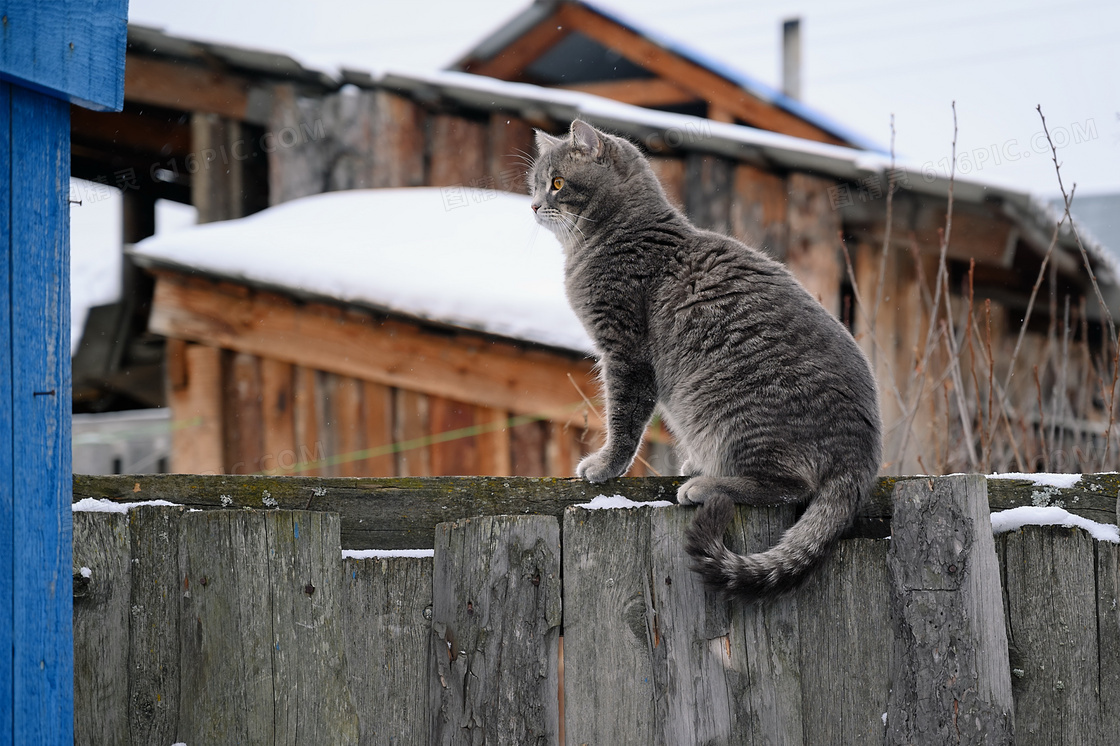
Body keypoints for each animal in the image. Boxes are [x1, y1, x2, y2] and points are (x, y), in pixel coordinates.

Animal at [528, 122, 878, 600]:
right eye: (535, 183)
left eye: (558, 183)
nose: (533, 204)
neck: (620, 235)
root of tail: (861, 457)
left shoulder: (625, 352)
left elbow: (623, 420)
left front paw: (604, 466)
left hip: (728, 409)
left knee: (789, 486)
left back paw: (703, 485)